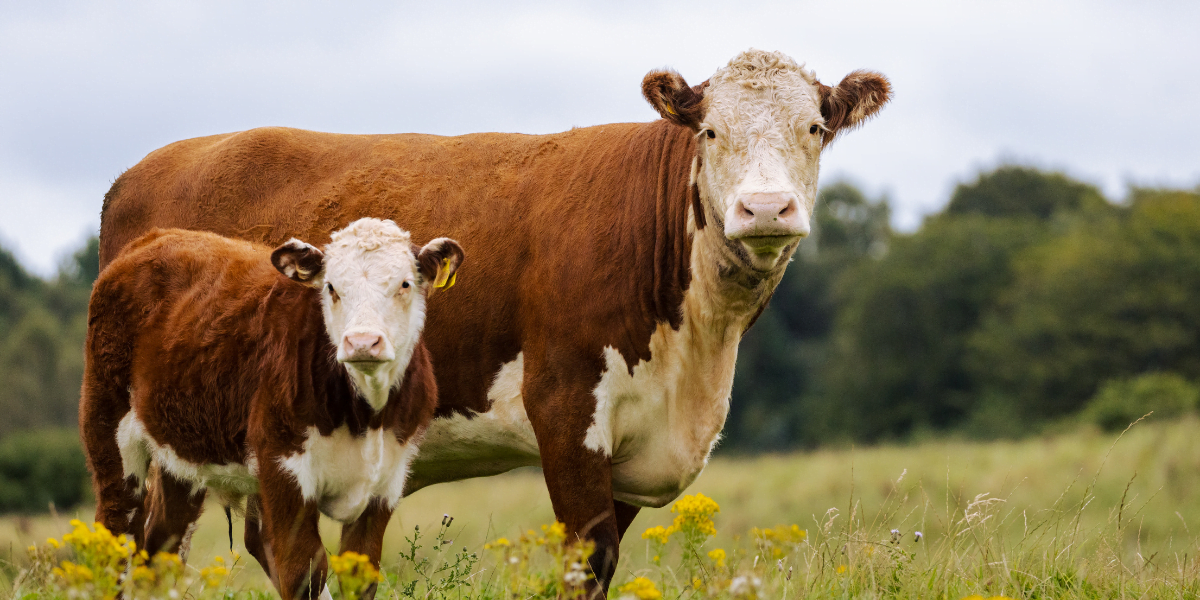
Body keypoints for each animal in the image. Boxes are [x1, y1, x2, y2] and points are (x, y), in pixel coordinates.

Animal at [79, 218, 464, 600]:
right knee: (116, 534)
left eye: (405, 284)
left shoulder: (386, 482)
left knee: (162, 547)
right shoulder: (283, 468)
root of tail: (157, 237)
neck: (366, 416)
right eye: (331, 287)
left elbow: (360, 575)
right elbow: (304, 571)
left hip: (182, 454)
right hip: (108, 428)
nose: (362, 342)